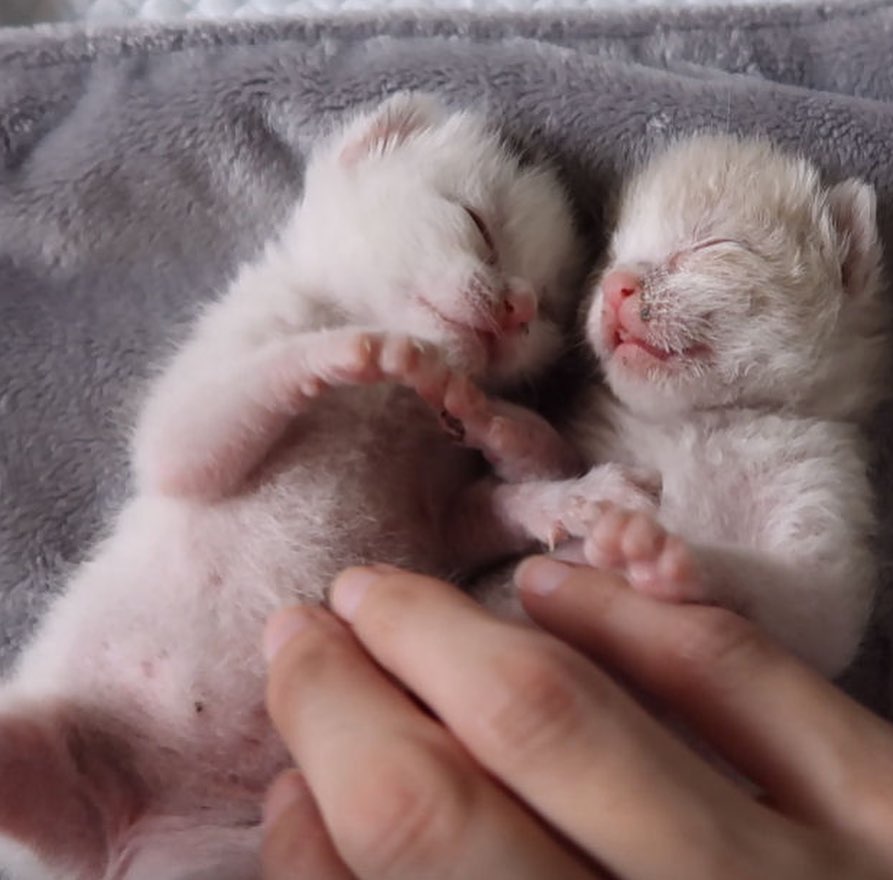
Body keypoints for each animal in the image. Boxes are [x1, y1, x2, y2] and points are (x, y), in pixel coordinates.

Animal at [0, 91, 608, 880]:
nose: (515, 310)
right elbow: (189, 441)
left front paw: (535, 462)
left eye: (552, 308)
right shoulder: (216, 376)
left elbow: (495, 493)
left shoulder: (433, 516)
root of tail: (119, 847)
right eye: (477, 223)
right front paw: (360, 349)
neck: (393, 409)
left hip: (232, 848)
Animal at [474, 134, 884, 676]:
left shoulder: (822, 506)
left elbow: (796, 600)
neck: (705, 422)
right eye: (612, 255)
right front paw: (506, 427)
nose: (615, 285)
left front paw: (666, 553)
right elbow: (545, 472)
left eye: (712, 245)